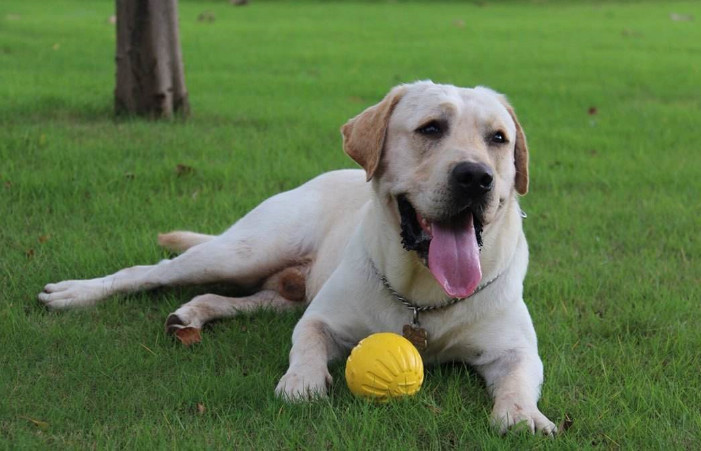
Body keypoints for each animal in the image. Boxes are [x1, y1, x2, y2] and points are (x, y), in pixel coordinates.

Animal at [39, 82, 556, 438]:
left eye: (498, 138)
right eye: (431, 128)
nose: (476, 177)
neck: (420, 294)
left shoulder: (515, 349)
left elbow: (519, 376)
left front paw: (522, 415)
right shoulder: (321, 319)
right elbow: (305, 344)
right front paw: (302, 382)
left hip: (279, 288)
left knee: (228, 298)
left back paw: (190, 315)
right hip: (242, 251)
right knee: (148, 273)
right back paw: (76, 293)